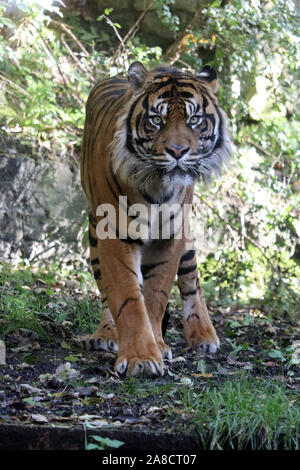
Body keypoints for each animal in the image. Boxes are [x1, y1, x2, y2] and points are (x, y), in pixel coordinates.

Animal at [80, 61, 232, 378]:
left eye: (195, 119)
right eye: (156, 120)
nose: (178, 151)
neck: (158, 189)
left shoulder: (171, 238)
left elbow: (156, 296)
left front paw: (156, 347)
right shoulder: (114, 235)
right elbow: (127, 296)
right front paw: (140, 357)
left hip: (186, 241)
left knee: (192, 280)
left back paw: (204, 335)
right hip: (94, 236)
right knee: (106, 292)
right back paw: (106, 334)